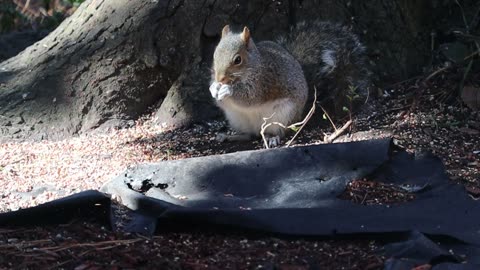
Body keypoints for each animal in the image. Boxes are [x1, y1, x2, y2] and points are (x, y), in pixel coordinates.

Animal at [208, 21, 370, 148]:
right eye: (214, 55)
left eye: (238, 60)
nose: (220, 78)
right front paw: (214, 87)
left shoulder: (264, 81)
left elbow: (250, 98)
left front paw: (228, 90)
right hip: (237, 119)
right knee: (250, 135)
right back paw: (230, 136)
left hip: (283, 114)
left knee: (277, 132)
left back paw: (272, 138)